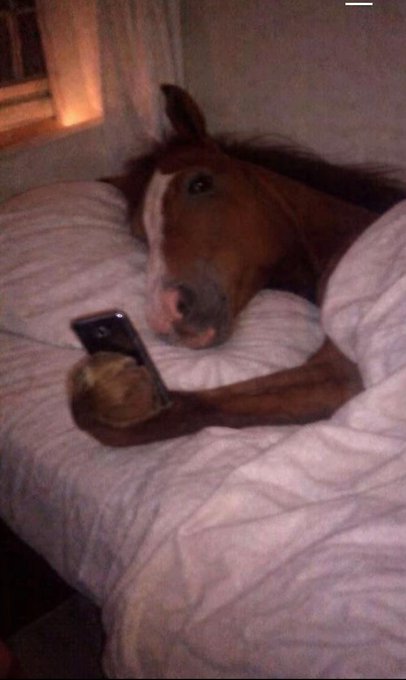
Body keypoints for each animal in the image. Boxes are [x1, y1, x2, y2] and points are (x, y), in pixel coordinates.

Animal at [69, 84, 406, 446]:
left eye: (200, 183)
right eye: (139, 233)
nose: (165, 313)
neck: (348, 235)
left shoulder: (344, 370)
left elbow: (189, 410)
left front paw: (116, 392)